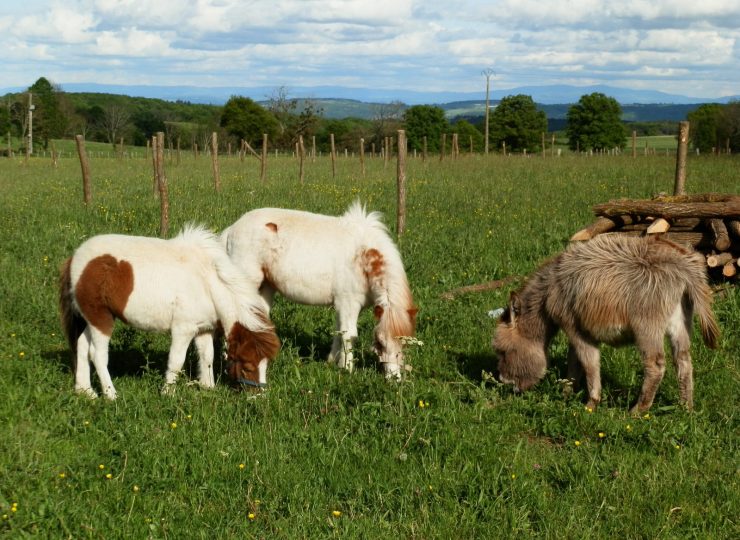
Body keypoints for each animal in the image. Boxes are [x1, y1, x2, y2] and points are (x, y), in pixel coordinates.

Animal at [59, 225, 280, 400]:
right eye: (248, 366)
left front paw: (208, 388)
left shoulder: (204, 329)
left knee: (81, 345)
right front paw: (168, 393)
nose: (259, 397)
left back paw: (85, 391)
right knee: (97, 354)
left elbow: (207, 357)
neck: (206, 281)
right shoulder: (183, 330)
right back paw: (111, 394)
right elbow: (176, 361)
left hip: (92, 319)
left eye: (266, 364)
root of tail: (75, 258)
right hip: (101, 319)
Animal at [220, 200, 416, 378]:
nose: (394, 378)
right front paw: (347, 369)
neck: (363, 256)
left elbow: (339, 332)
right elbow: (349, 335)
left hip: (265, 288)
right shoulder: (348, 302)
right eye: (380, 343)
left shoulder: (343, 305)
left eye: (405, 344)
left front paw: (332, 361)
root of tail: (232, 229)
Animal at [494, 233, 720, 414]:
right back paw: (685, 408)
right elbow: (574, 363)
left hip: (647, 327)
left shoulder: (574, 328)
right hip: (679, 321)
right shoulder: (578, 330)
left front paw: (590, 405)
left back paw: (637, 411)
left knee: (655, 366)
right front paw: (566, 394)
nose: (504, 382)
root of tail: (683, 265)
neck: (551, 288)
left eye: (504, 351)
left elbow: (589, 364)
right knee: (683, 361)